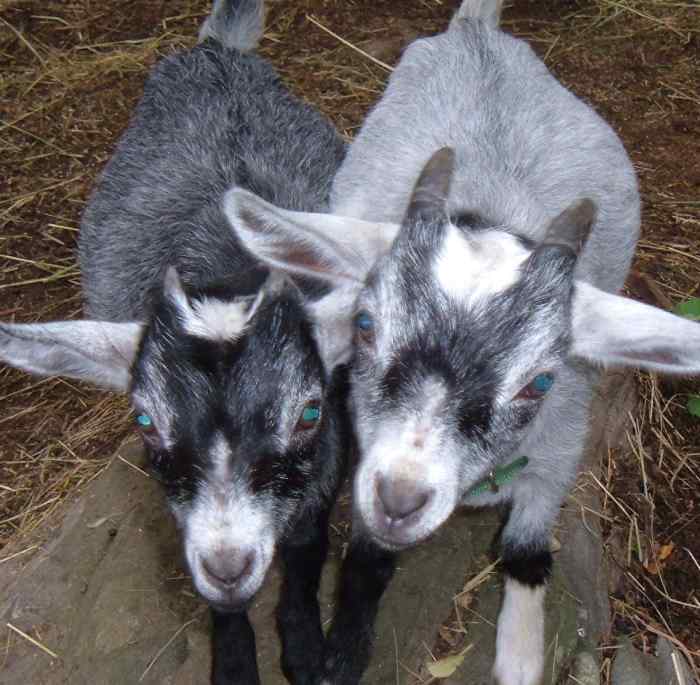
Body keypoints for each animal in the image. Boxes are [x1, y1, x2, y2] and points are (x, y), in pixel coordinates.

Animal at [0, 1, 349, 683]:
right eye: (144, 419)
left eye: (308, 411)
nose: (230, 563)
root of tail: (215, 54)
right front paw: (236, 660)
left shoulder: (329, 453)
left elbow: (306, 547)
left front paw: (305, 649)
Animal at [222, 1, 700, 683]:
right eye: (366, 326)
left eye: (541, 380)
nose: (401, 498)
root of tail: (475, 30)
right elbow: (367, 554)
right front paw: (343, 651)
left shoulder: (559, 450)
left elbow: (527, 551)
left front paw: (520, 656)